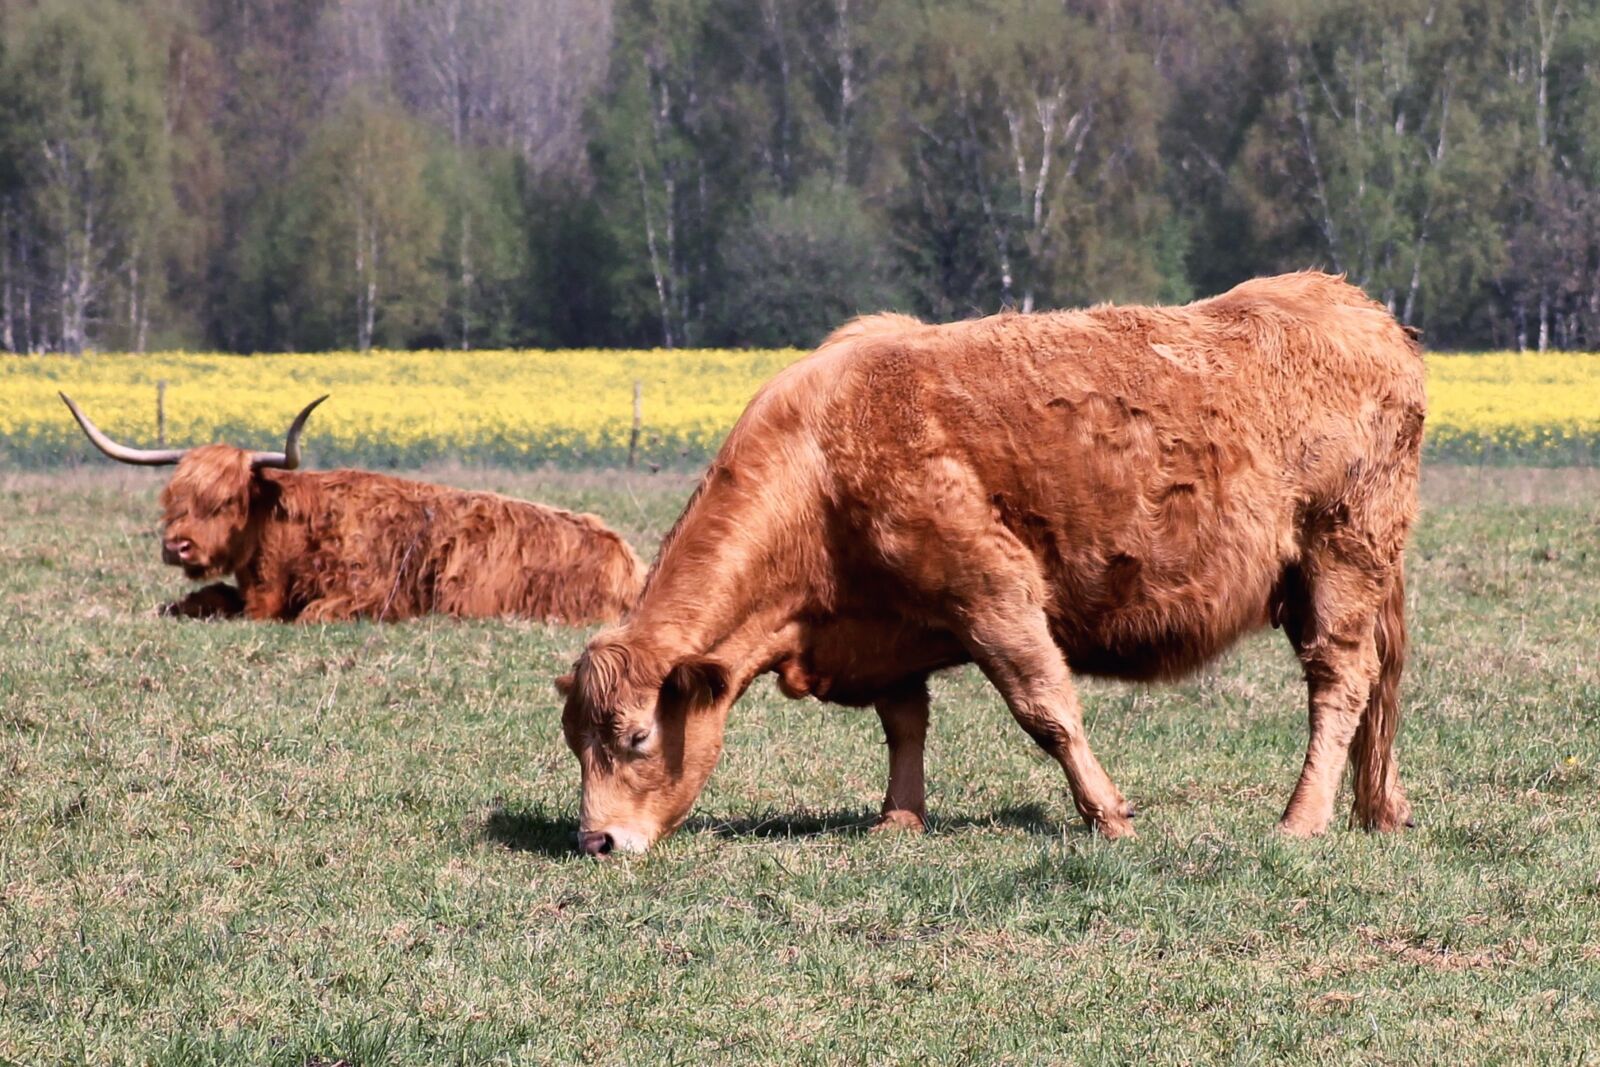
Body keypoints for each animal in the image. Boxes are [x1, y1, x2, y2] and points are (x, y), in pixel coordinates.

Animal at [61, 394, 646, 625]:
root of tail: (627, 558)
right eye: (172, 498)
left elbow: (311, 615)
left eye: (227, 500)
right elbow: (191, 601)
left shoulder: (368, 595)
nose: (177, 545)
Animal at [557, 272, 1426, 855]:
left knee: (1340, 685)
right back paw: (1377, 809)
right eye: (575, 741)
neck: (823, 455)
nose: (595, 840)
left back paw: (1300, 819)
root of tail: (1349, 301)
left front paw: (1108, 815)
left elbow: (1048, 710)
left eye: (637, 736)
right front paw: (898, 819)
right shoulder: (892, 624)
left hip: (1341, 559)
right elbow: (905, 723)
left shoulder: (993, 593)